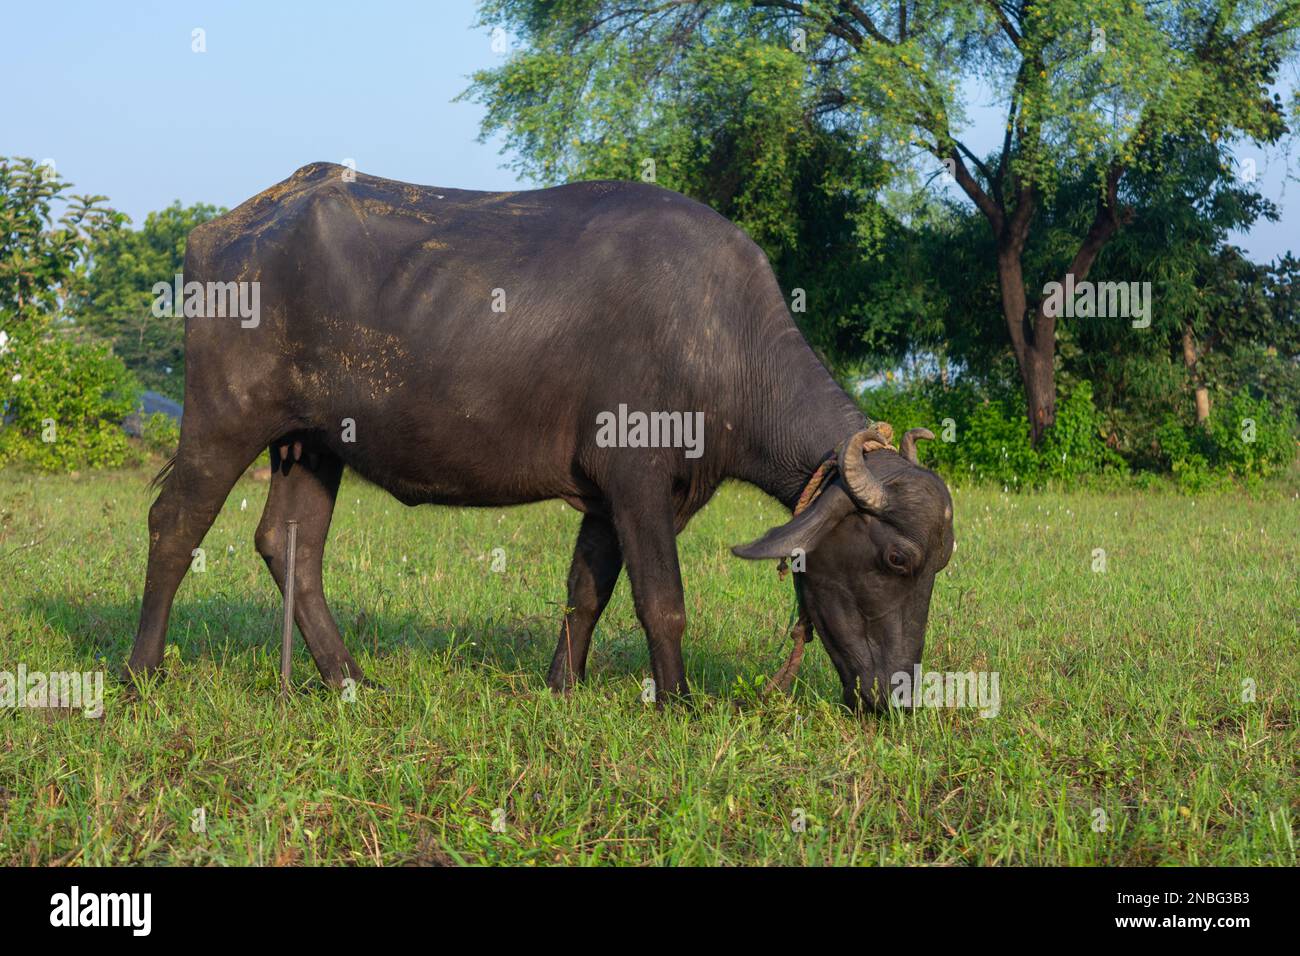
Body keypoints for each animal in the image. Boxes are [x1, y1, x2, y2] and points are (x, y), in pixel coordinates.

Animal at [129, 162, 956, 712]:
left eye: (938, 567)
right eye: (897, 559)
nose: (899, 700)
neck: (719, 339)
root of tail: (225, 231)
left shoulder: (609, 494)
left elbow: (586, 590)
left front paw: (564, 685)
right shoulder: (639, 481)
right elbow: (662, 598)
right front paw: (679, 701)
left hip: (314, 442)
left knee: (288, 544)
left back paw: (351, 681)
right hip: (225, 417)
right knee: (174, 524)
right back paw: (143, 673)